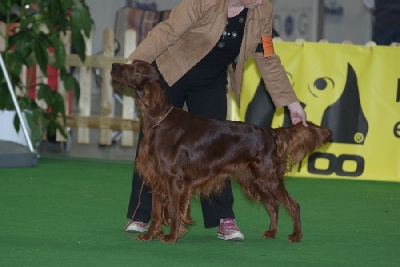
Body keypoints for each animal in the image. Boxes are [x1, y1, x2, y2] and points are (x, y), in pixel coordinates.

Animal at [111, 59, 332, 244]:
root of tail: (269, 132)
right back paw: (271, 232)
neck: (159, 121)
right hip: (254, 180)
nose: (114, 65)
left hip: (267, 178)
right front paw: (149, 235)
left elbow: (173, 211)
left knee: (293, 204)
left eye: (138, 70)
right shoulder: (157, 177)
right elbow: (156, 212)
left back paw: (296, 235)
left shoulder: (173, 178)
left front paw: (171, 236)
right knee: (273, 205)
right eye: (131, 63)